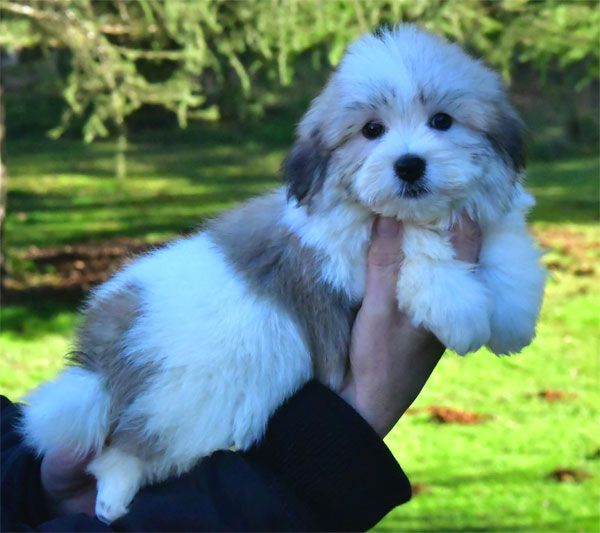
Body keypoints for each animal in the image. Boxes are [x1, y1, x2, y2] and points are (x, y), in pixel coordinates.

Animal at [23, 26, 548, 524]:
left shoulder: (485, 217)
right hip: (187, 403)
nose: (409, 165)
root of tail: (108, 352)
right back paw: (113, 498)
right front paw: (463, 311)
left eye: (442, 120)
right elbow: (418, 246)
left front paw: (511, 319)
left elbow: (506, 246)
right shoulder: (341, 245)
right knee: (125, 452)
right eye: (372, 130)